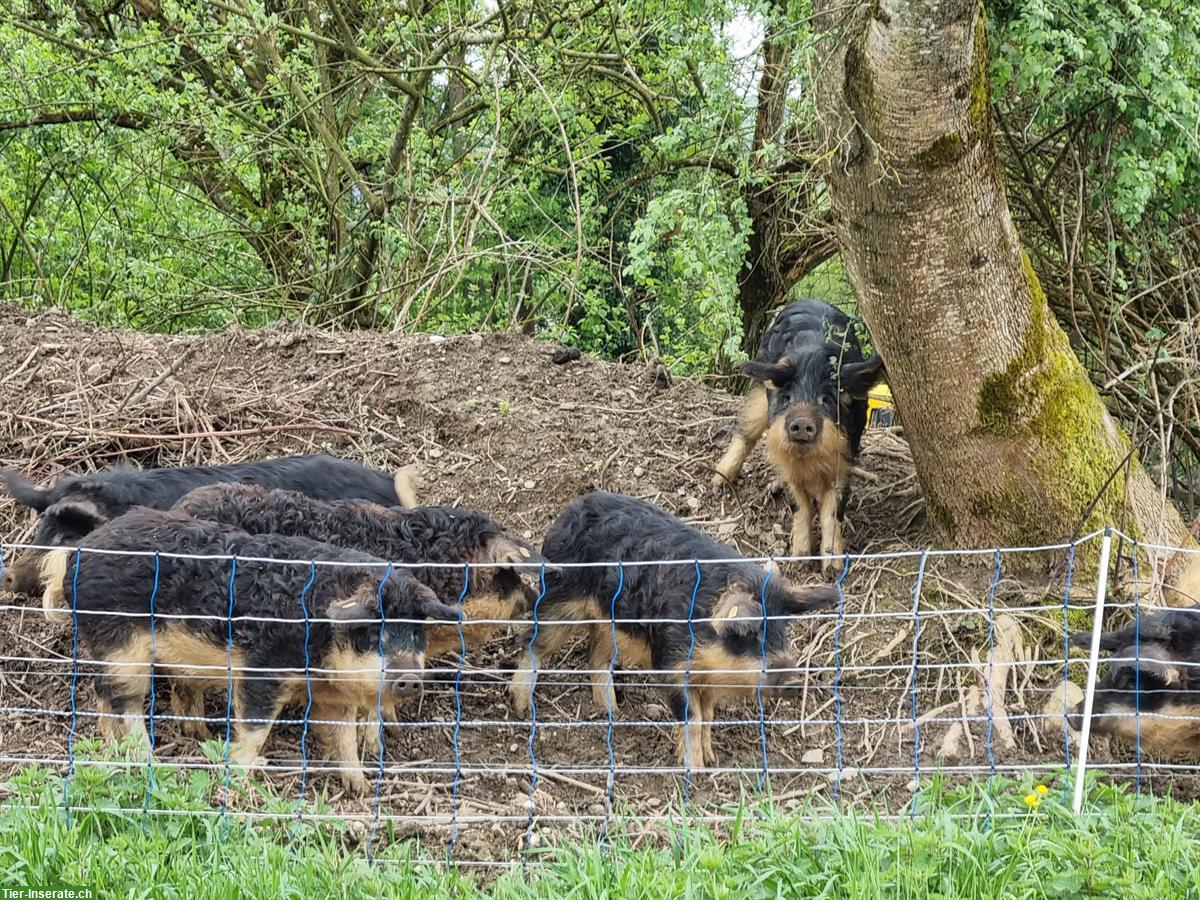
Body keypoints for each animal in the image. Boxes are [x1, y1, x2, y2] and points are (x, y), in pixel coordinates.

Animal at [506, 494, 835, 768]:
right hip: (561, 599)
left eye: (782, 631)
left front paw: (712, 760)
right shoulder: (672, 664)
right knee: (533, 644)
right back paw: (521, 707)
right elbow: (691, 718)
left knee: (596, 658)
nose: (794, 680)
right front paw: (695, 769)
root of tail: (568, 512)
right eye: (748, 634)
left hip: (612, 623)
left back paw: (614, 713)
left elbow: (708, 717)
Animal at [710, 301, 883, 571]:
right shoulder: (786, 466)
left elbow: (833, 511)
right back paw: (718, 484)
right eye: (788, 398)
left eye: (826, 399)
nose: (801, 421)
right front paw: (799, 560)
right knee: (746, 431)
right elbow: (798, 506)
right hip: (762, 387)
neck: (806, 460)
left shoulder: (844, 459)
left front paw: (832, 569)